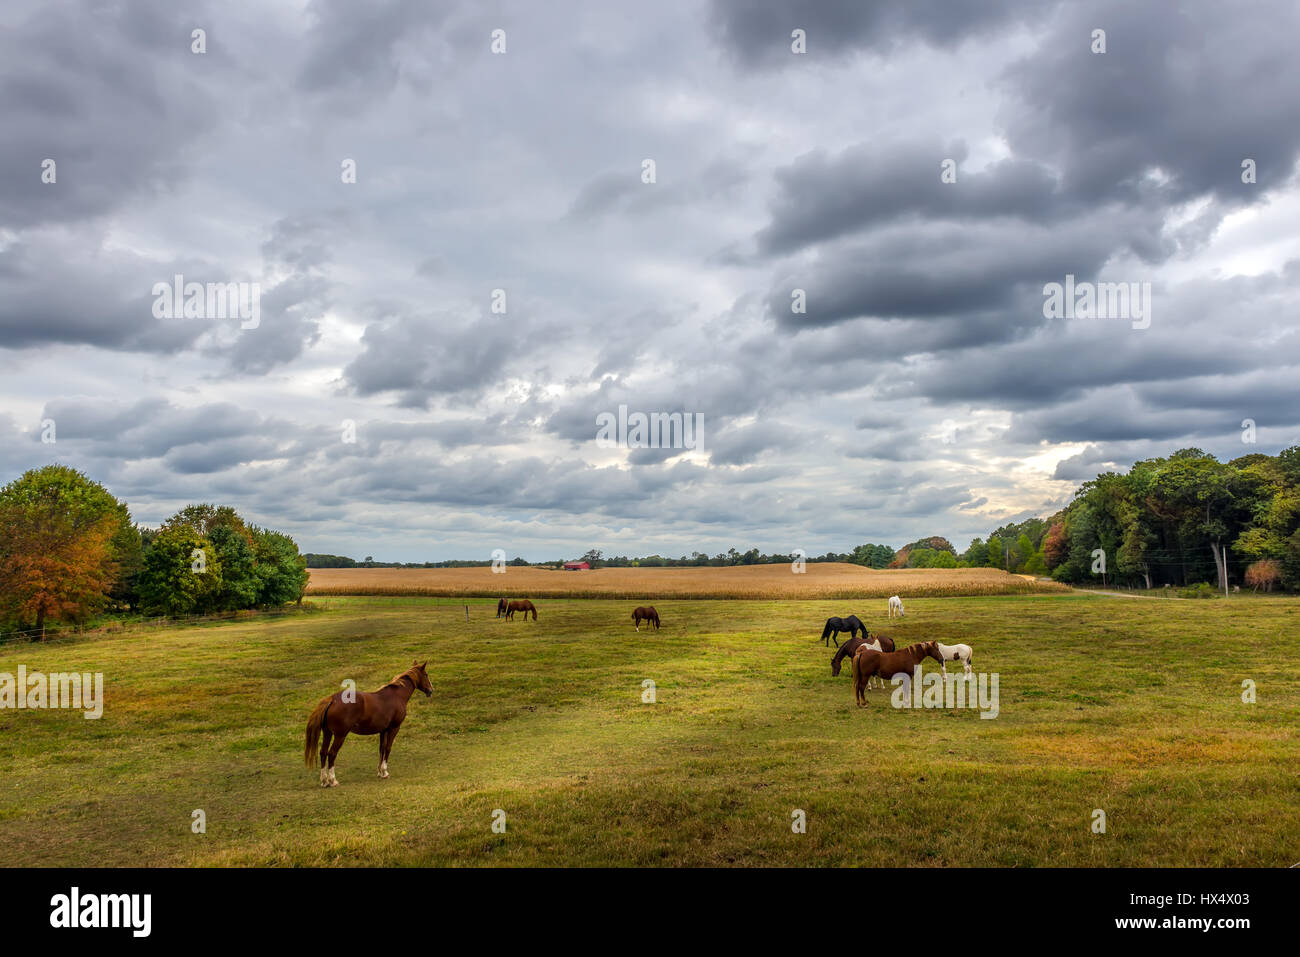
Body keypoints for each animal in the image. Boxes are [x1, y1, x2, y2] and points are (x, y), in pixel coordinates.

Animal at [304, 660, 431, 790]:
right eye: (426, 675)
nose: (430, 690)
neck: (396, 696)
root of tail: (332, 699)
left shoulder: (383, 730)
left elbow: (381, 748)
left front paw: (380, 772)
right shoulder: (394, 728)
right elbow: (388, 748)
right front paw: (385, 771)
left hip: (327, 733)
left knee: (323, 753)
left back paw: (324, 781)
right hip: (340, 735)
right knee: (331, 754)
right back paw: (332, 780)